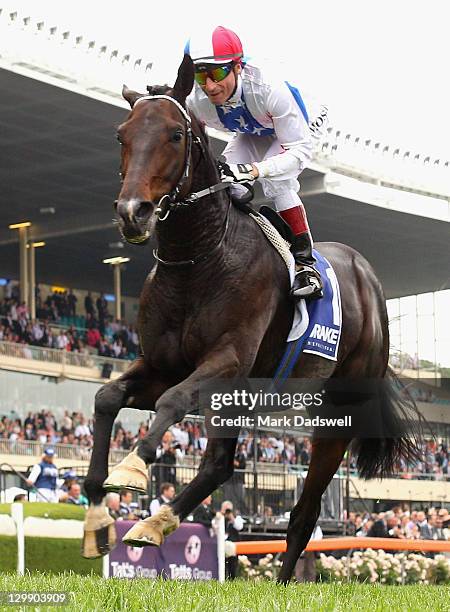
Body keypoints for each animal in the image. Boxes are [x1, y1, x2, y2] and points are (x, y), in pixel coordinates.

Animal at [82, 53, 424, 584]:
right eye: (123, 134)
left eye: (174, 135)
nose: (132, 212)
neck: (200, 258)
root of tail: (368, 277)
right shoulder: (162, 366)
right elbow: (106, 397)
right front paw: (98, 513)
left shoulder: (225, 361)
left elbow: (173, 403)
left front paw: (131, 470)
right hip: (239, 402)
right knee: (221, 466)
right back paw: (157, 523)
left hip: (335, 415)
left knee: (302, 511)